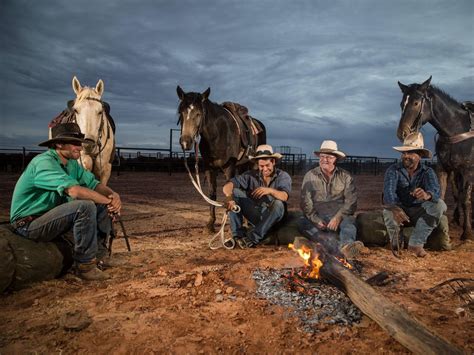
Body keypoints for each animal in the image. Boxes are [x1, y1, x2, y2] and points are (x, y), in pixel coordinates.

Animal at [177, 85, 266, 231]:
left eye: (199, 114)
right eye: (181, 113)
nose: (185, 142)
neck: (217, 134)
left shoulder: (229, 168)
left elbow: (229, 194)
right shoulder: (209, 168)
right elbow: (212, 193)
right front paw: (210, 224)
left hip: (254, 163)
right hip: (242, 165)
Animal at [398, 76, 472, 241]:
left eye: (416, 103)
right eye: (401, 104)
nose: (402, 133)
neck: (456, 130)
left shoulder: (468, 171)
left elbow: (465, 199)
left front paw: (467, 232)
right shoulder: (443, 169)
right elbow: (443, 197)